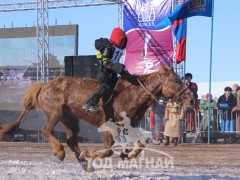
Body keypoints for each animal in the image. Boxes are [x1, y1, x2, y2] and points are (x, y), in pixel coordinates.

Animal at [0, 66, 193, 172]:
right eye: (176, 81)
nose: (191, 98)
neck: (130, 95)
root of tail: (44, 85)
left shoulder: (131, 126)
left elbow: (143, 141)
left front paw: (128, 155)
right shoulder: (109, 127)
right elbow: (108, 151)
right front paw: (90, 153)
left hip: (70, 119)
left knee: (71, 140)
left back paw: (85, 164)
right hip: (55, 113)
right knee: (46, 130)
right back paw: (61, 152)